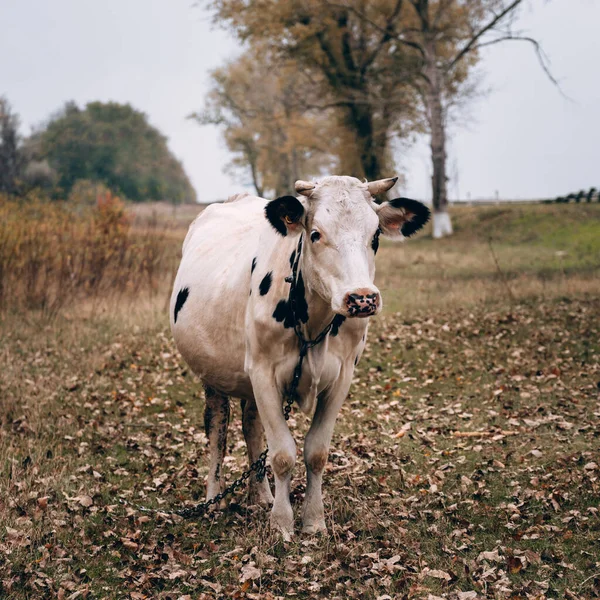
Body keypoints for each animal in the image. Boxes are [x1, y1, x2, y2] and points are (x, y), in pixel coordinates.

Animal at [171, 175, 428, 540]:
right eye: (316, 233)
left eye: (376, 235)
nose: (362, 299)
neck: (314, 322)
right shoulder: (263, 372)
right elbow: (282, 454)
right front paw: (281, 523)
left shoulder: (341, 377)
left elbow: (316, 452)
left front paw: (314, 521)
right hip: (213, 374)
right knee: (217, 430)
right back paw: (213, 499)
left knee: (250, 425)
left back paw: (260, 494)